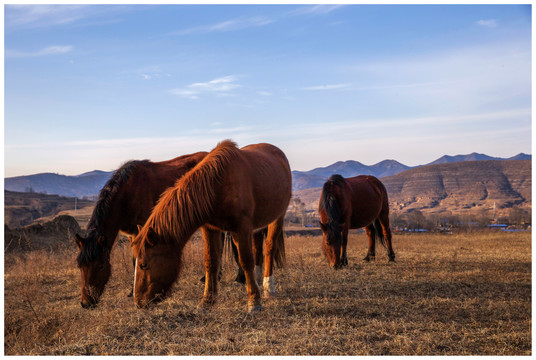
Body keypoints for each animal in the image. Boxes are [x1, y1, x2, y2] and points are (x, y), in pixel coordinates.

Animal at [75, 150, 207, 308]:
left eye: (100, 266)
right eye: (80, 266)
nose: (86, 303)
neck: (128, 193)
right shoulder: (132, 234)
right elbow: (135, 260)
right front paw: (131, 291)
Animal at [131, 140, 292, 312]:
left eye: (143, 265)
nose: (138, 302)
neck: (217, 184)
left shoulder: (242, 228)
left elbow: (246, 260)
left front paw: (254, 301)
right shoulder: (210, 229)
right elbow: (211, 261)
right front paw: (207, 301)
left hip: (278, 217)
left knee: (269, 248)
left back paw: (268, 288)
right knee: (257, 250)